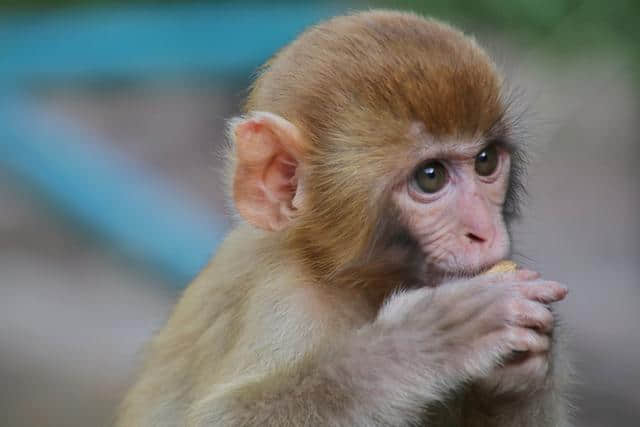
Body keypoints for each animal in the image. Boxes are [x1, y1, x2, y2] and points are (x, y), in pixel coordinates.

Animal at [119, 10, 568, 427]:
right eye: (431, 176)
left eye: (486, 161)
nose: (485, 232)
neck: (337, 276)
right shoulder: (286, 302)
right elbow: (225, 416)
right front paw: (418, 344)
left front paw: (519, 379)